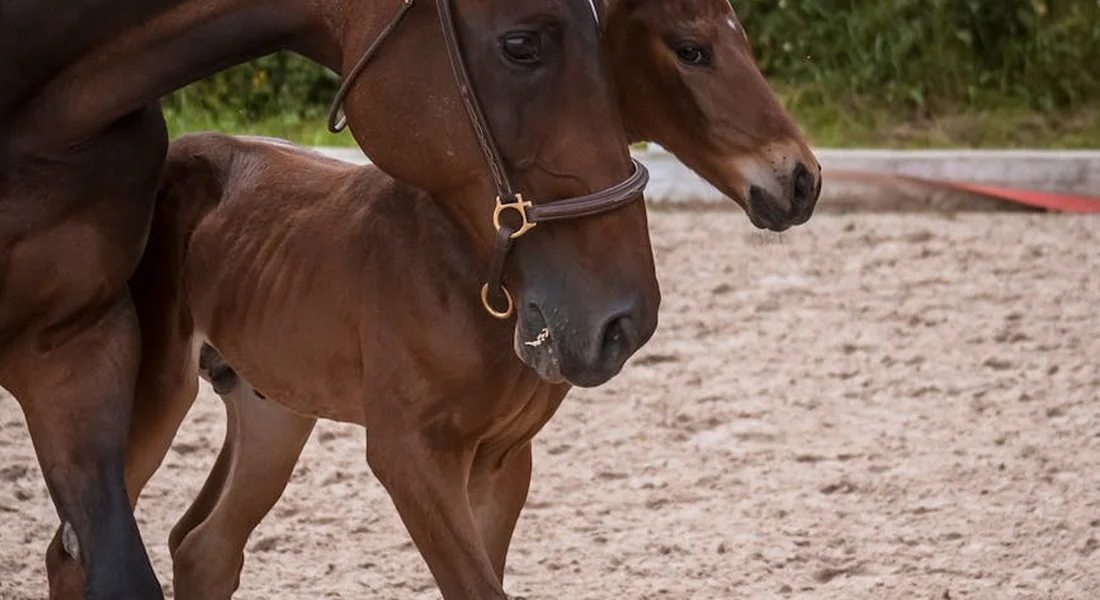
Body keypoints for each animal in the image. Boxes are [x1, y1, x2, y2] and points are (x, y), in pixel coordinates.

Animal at [1, 0, 685, 597]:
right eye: (522, 45)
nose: (624, 320)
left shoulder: (501, 461)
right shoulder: (410, 454)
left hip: (274, 413)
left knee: (205, 545)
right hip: (154, 394)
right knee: (79, 553)